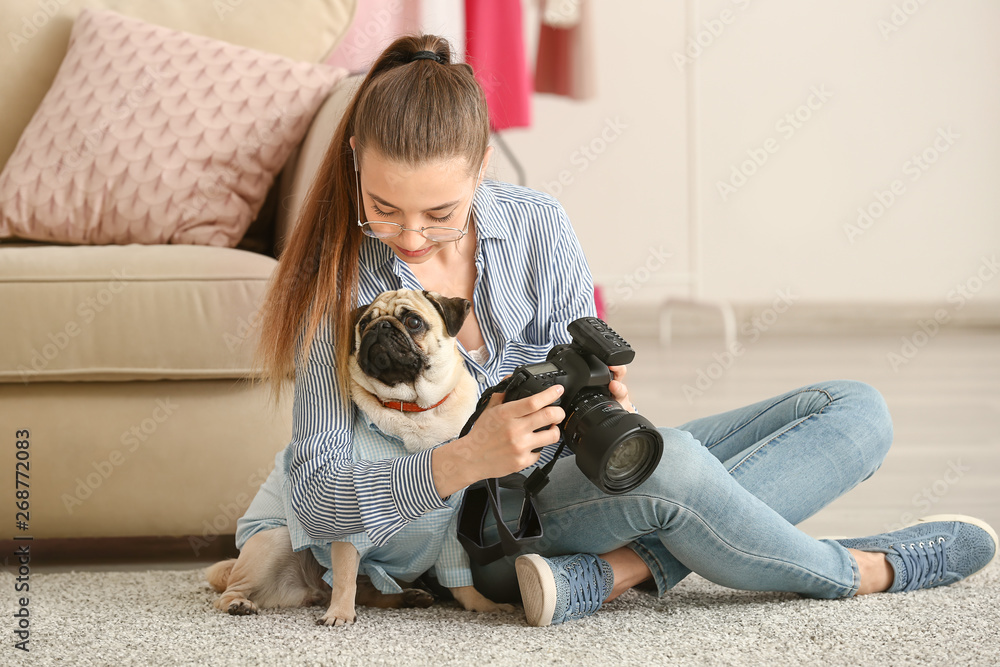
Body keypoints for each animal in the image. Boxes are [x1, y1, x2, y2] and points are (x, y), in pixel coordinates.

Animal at [206, 288, 512, 628]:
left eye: (413, 321)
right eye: (364, 323)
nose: (380, 327)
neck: (414, 409)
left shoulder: (451, 529)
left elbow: (461, 578)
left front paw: (481, 605)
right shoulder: (348, 513)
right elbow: (344, 577)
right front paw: (339, 613)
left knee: (368, 590)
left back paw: (408, 597)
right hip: (275, 542)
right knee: (231, 590)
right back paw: (240, 604)